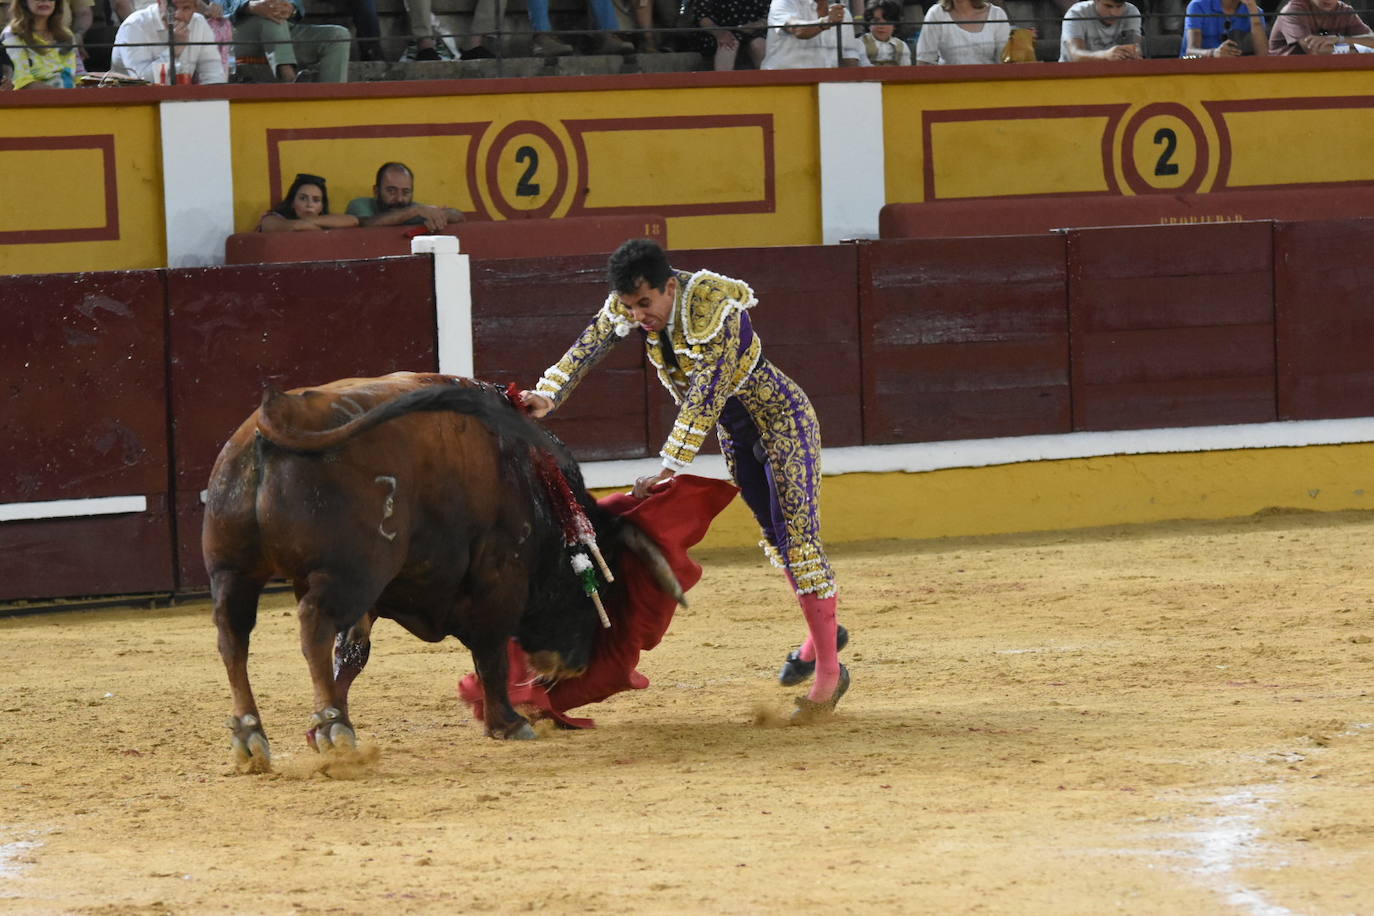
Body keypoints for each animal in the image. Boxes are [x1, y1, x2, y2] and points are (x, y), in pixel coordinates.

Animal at [200, 368, 684, 769]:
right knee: (312, 624)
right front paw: (509, 724)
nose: (575, 666)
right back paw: (334, 728)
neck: (540, 488)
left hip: (233, 573)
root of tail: (280, 411)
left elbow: (353, 654)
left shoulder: (377, 595)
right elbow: (490, 652)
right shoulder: (499, 578)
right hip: (349, 575)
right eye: (601, 586)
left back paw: (250, 737)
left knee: (232, 636)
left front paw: (314, 731)